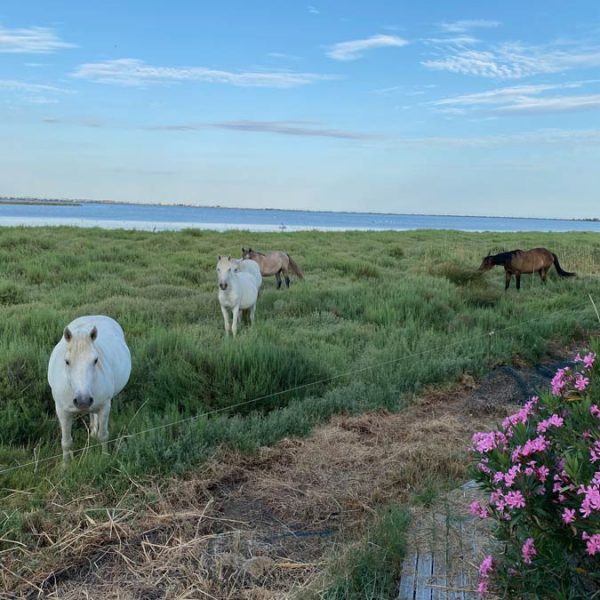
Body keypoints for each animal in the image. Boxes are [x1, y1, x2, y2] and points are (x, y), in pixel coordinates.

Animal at [47, 316, 132, 462]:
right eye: (67, 361)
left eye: (96, 360)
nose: (83, 401)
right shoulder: (62, 411)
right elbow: (66, 442)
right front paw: (66, 464)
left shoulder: (104, 407)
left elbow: (103, 435)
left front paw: (105, 457)